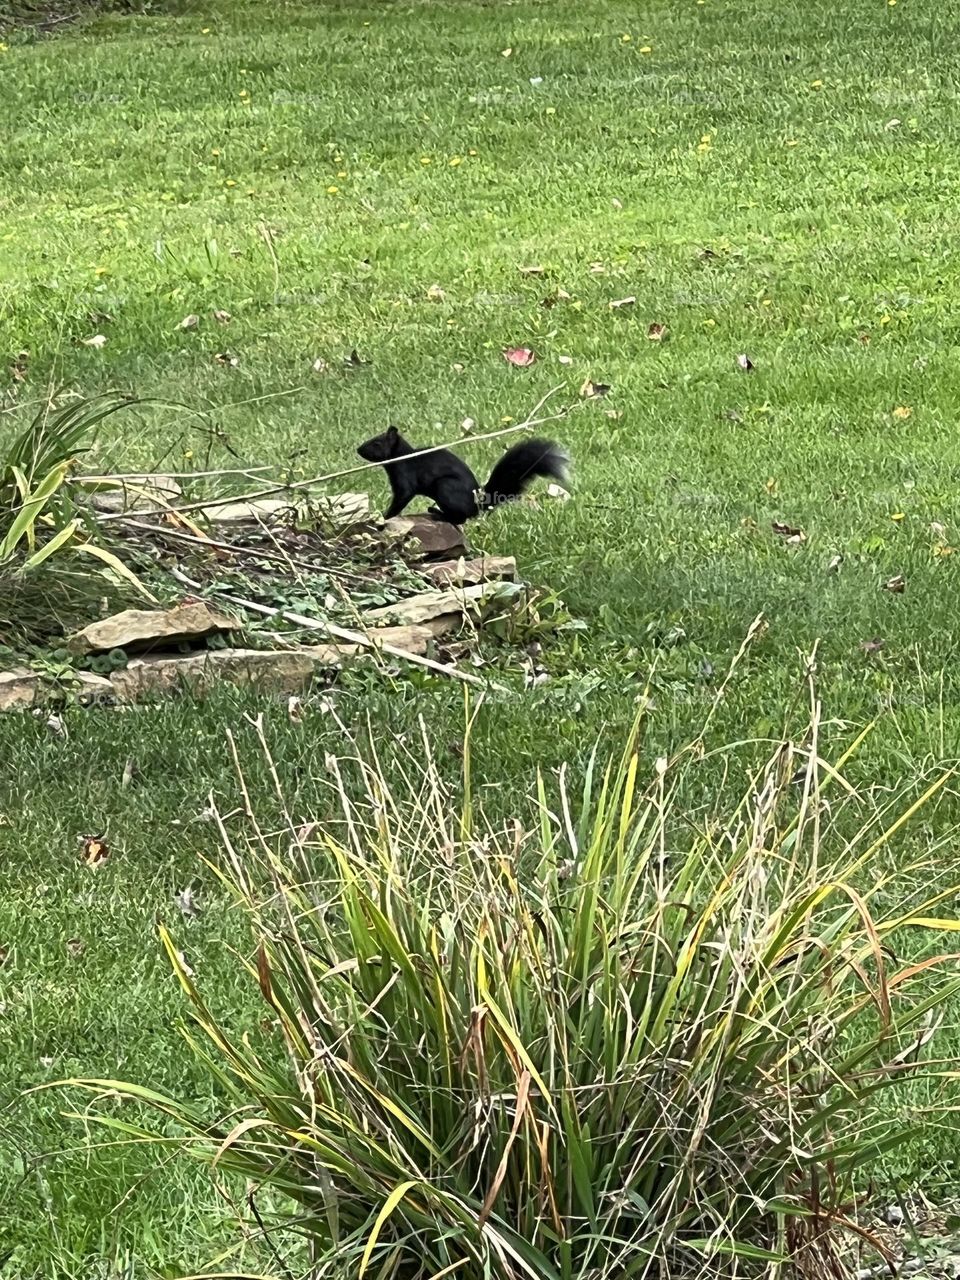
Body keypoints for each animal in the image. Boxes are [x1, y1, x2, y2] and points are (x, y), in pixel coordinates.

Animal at [357, 426, 569, 525]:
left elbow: (402, 497)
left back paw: (438, 514)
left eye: (376, 443)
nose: (358, 449)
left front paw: (385, 516)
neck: (403, 457)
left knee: (460, 519)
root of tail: (478, 504)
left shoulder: (405, 478)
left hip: (445, 487)